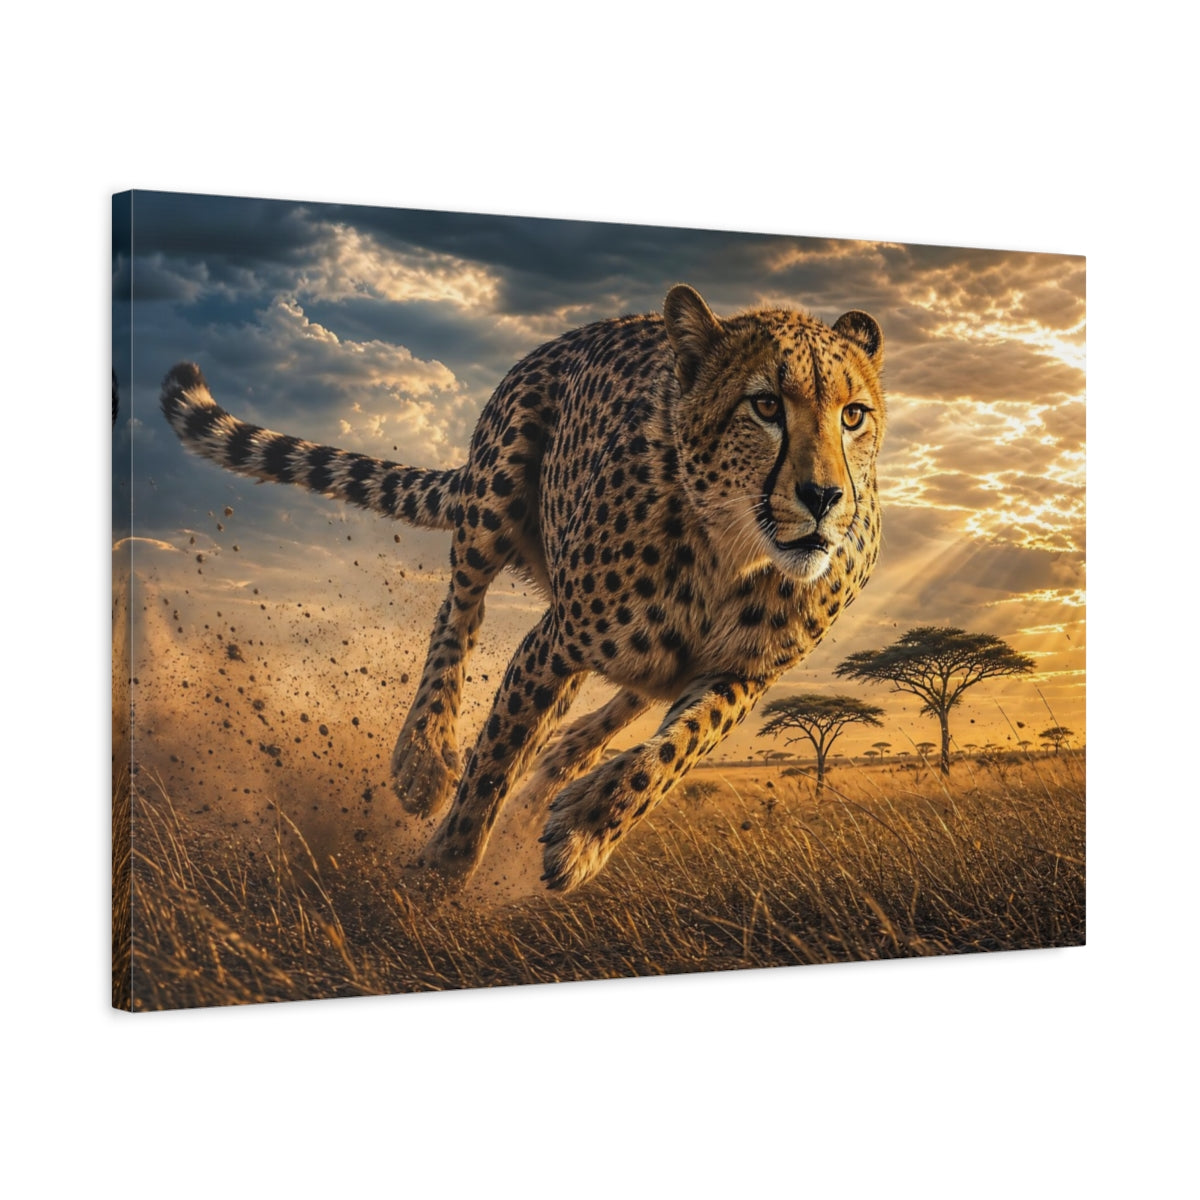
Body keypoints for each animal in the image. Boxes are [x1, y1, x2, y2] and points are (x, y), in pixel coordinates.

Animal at [160, 284, 886, 895]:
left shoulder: (745, 674)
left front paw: (586, 830)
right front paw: (440, 872)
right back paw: (424, 757)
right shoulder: (556, 640)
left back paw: (561, 774)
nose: (824, 497)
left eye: (853, 416)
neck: (733, 552)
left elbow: (674, 751)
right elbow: (493, 758)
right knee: (460, 610)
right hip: (497, 487)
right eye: (765, 406)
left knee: (616, 705)